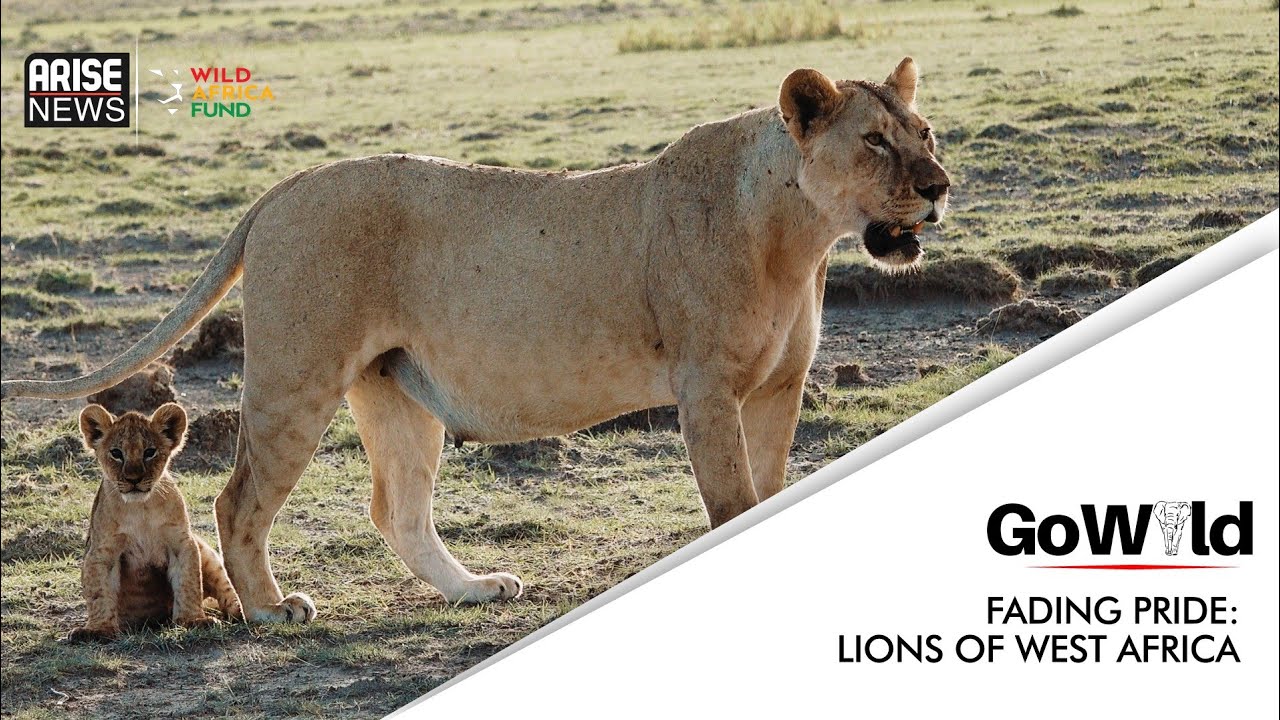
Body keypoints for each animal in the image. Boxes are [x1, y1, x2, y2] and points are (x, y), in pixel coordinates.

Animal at [68, 403, 244, 641]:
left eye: (149, 452)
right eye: (116, 453)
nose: (133, 479)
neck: (140, 508)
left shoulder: (182, 542)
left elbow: (189, 583)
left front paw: (193, 620)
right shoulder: (102, 550)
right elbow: (99, 592)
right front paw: (98, 629)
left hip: (208, 555)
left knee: (227, 588)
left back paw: (244, 610)